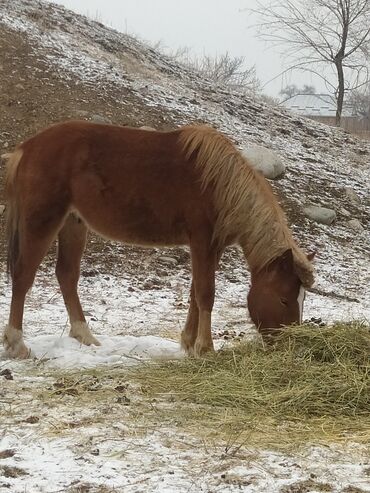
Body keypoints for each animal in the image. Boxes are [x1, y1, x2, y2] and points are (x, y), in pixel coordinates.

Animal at [2, 122, 316, 358]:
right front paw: (205, 348)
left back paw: (85, 336)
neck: (218, 185)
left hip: (73, 224)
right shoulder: (202, 242)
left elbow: (194, 293)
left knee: (66, 275)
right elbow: (206, 293)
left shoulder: (211, 248)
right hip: (42, 221)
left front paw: (189, 343)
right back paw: (17, 344)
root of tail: (26, 148)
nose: (292, 344)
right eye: (284, 299)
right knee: (23, 276)